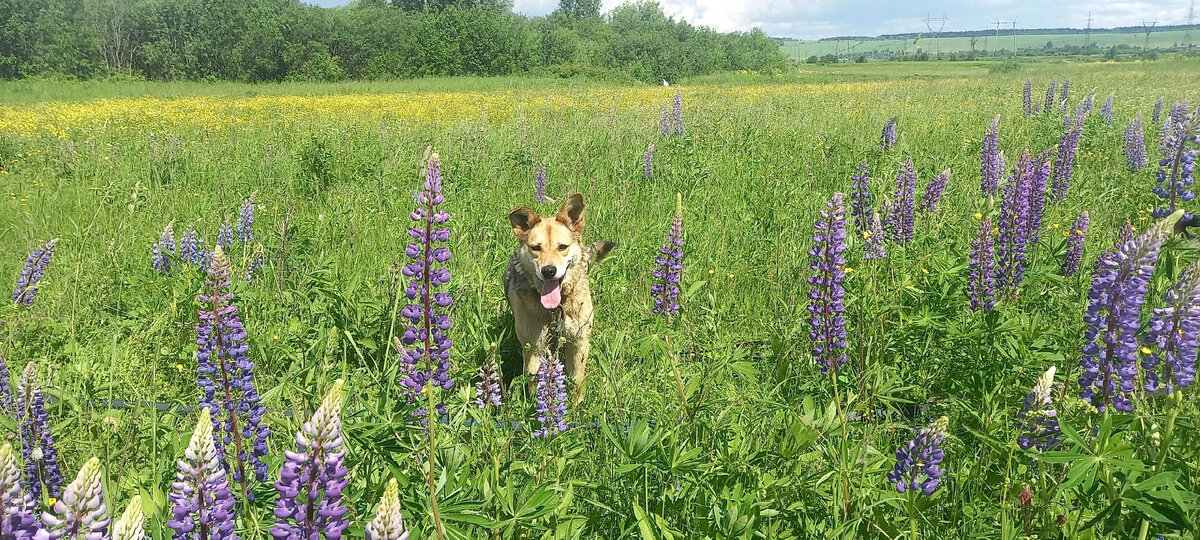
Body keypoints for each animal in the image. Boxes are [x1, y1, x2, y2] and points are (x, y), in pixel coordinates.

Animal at [508, 194, 619, 405]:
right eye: (536, 248)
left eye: (562, 247)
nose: (549, 271)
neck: (556, 308)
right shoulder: (534, 346)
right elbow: (534, 380)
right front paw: (537, 407)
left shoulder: (579, 342)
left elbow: (576, 379)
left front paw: (576, 406)